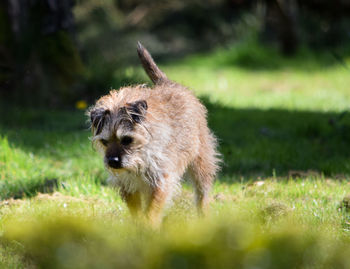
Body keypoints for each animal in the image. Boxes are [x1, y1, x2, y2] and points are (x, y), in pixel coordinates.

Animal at [88, 43, 219, 224]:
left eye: (127, 140)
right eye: (105, 142)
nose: (112, 161)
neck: (140, 158)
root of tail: (169, 83)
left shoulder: (161, 179)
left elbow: (152, 209)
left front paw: (149, 225)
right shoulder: (128, 184)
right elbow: (136, 210)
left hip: (201, 164)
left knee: (202, 194)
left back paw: (204, 216)